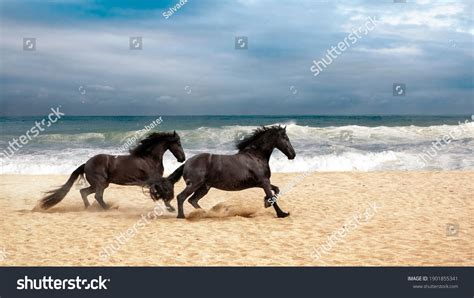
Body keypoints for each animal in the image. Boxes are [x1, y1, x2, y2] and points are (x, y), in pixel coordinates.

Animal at [39, 132, 185, 211]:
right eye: (178, 143)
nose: (182, 158)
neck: (148, 158)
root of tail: (86, 163)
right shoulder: (153, 180)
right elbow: (163, 189)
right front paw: (170, 207)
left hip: (100, 184)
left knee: (84, 192)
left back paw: (89, 208)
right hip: (101, 183)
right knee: (97, 196)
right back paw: (107, 209)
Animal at [150, 125, 294, 219]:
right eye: (286, 138)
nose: (292, 154)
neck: (255, 156)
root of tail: (187, 162)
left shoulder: (262, 182)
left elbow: (276, 190)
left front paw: (266, 203)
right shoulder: (264, 182)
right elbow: (273, 196)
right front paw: (282, 214)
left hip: (204, 187)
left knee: (193, 200)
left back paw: (206, 213)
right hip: (195, 185)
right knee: (182, 197)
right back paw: (182, 216)